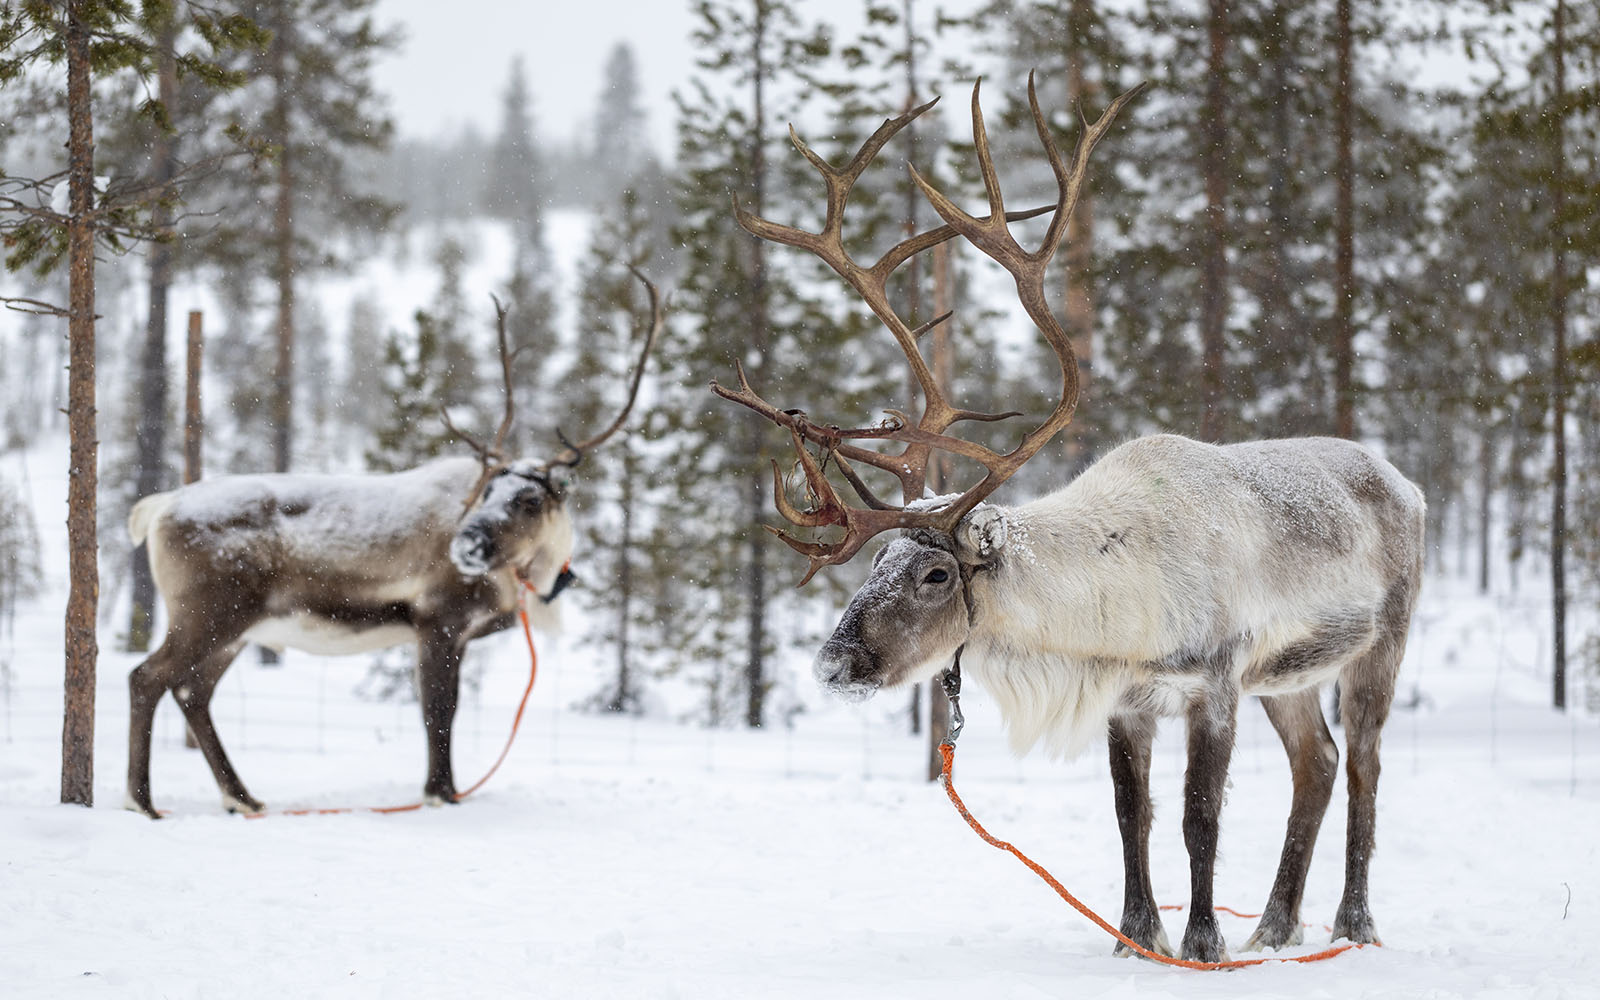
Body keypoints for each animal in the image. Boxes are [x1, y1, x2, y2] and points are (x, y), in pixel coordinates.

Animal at [124, 275, 663, 819]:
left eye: (530, 499)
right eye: (487, 489)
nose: (467, 544)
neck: (525, 580)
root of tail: (160, 507)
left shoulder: (458, 634)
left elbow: (447, 709)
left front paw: (446, 790)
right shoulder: (437, 622)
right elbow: (438, 711)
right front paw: (440, 793)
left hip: (236, 628)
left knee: (192, 691)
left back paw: (242, 798)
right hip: (208, 615)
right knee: (148, 677)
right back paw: (143, 803)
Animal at [711, 77, 1424, 964]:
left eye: (935, 572)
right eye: (871, 566)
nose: (835, 662)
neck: (1109, 607)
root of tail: (1404, 482)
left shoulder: (1216, 681)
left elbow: (1198, 820)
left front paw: (1199, 946)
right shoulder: (1126, 699)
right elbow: (1130, 817)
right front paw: (1134, 938)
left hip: (1380, 644)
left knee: (1361, 763)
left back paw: (1351, 925)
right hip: (1286, 675)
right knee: (1316, 763)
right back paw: (1275, 925)